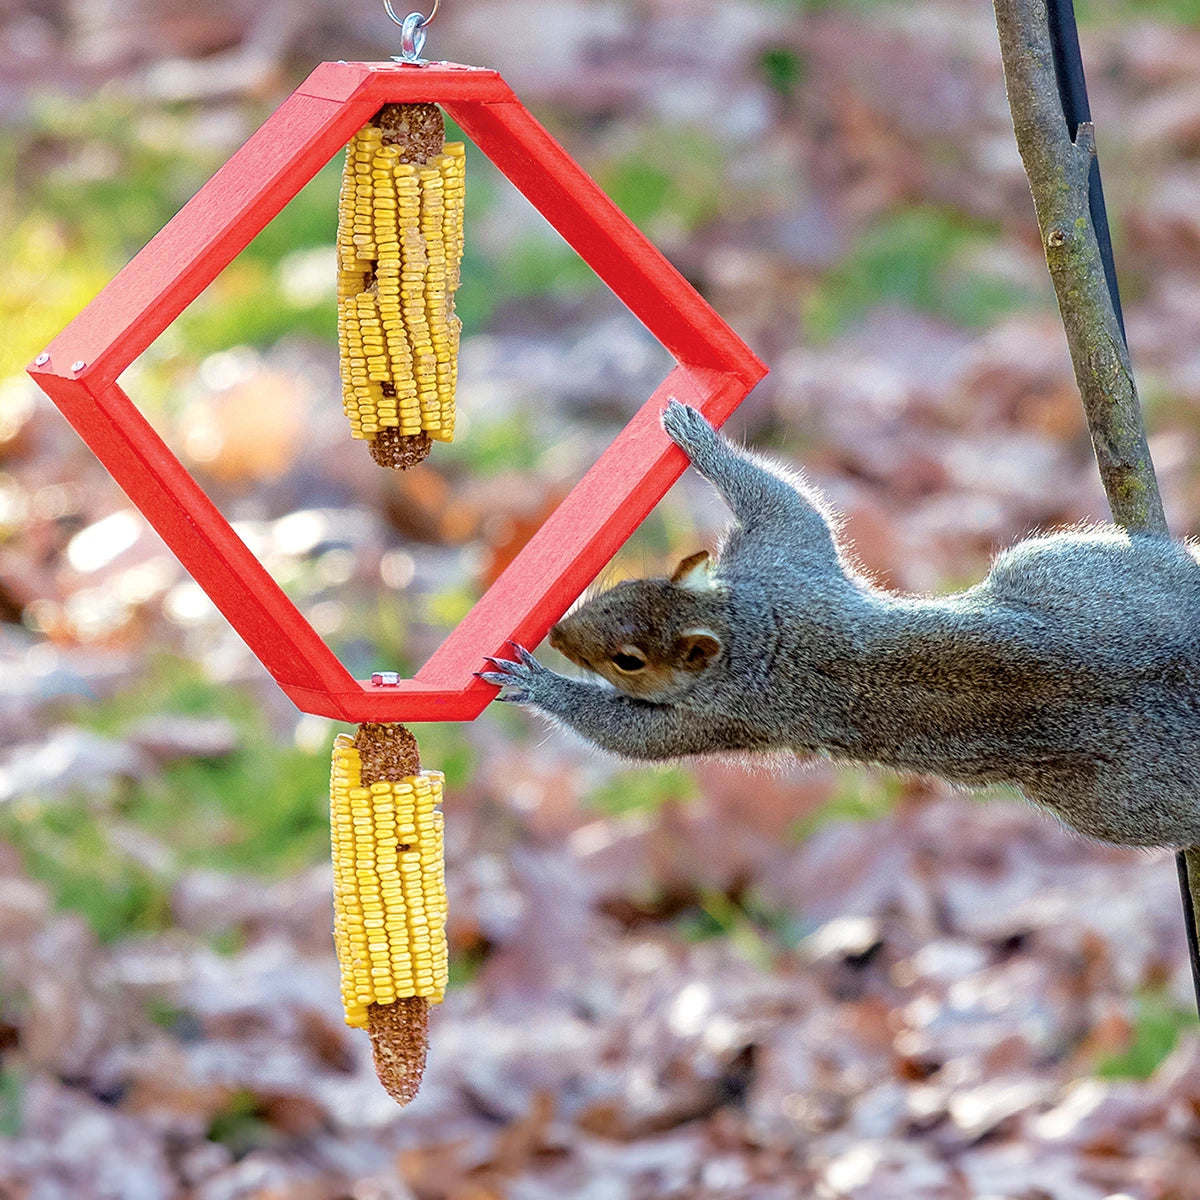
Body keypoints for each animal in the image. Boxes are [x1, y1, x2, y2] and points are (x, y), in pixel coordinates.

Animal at [480, 400, 1200, 849]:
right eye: (629, 585)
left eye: (629, 661)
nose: (558, 634)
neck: (749, 626)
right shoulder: (785, 566)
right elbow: (786, 502)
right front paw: (696, 436)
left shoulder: (720, 712)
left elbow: (630, 737)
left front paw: (533, 682)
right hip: (1090, 575)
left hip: (1117, 802)